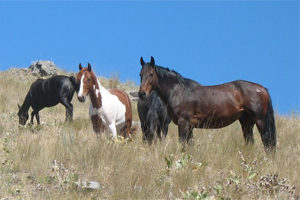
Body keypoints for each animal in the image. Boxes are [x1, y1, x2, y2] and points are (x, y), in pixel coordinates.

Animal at [138, 56, 276, 152]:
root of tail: (262, 89)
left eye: (151, 74)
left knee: (267, 143)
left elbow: (183, 145)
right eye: (140, 74)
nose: (142, 94)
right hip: (246, 123)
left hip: (260, 121)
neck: (179, 91)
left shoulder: (183, 124)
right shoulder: (189, 127)